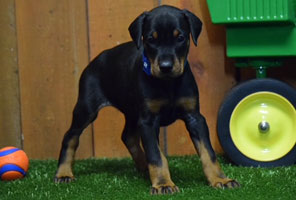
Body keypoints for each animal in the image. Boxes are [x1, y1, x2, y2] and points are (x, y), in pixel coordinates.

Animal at [55, 5, 240, 194]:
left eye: (180, 38)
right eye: (151, 39)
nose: (166, 67)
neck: (168, 84)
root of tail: (95, 60)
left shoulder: (194, 117)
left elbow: (208, 152)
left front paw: (220, 179)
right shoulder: (148, 121)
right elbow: (156, 155)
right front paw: (163, 184)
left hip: (131, 111)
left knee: (127, 136)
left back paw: (143, 166)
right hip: (87, 108)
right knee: (70, 136)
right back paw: (64, 173)